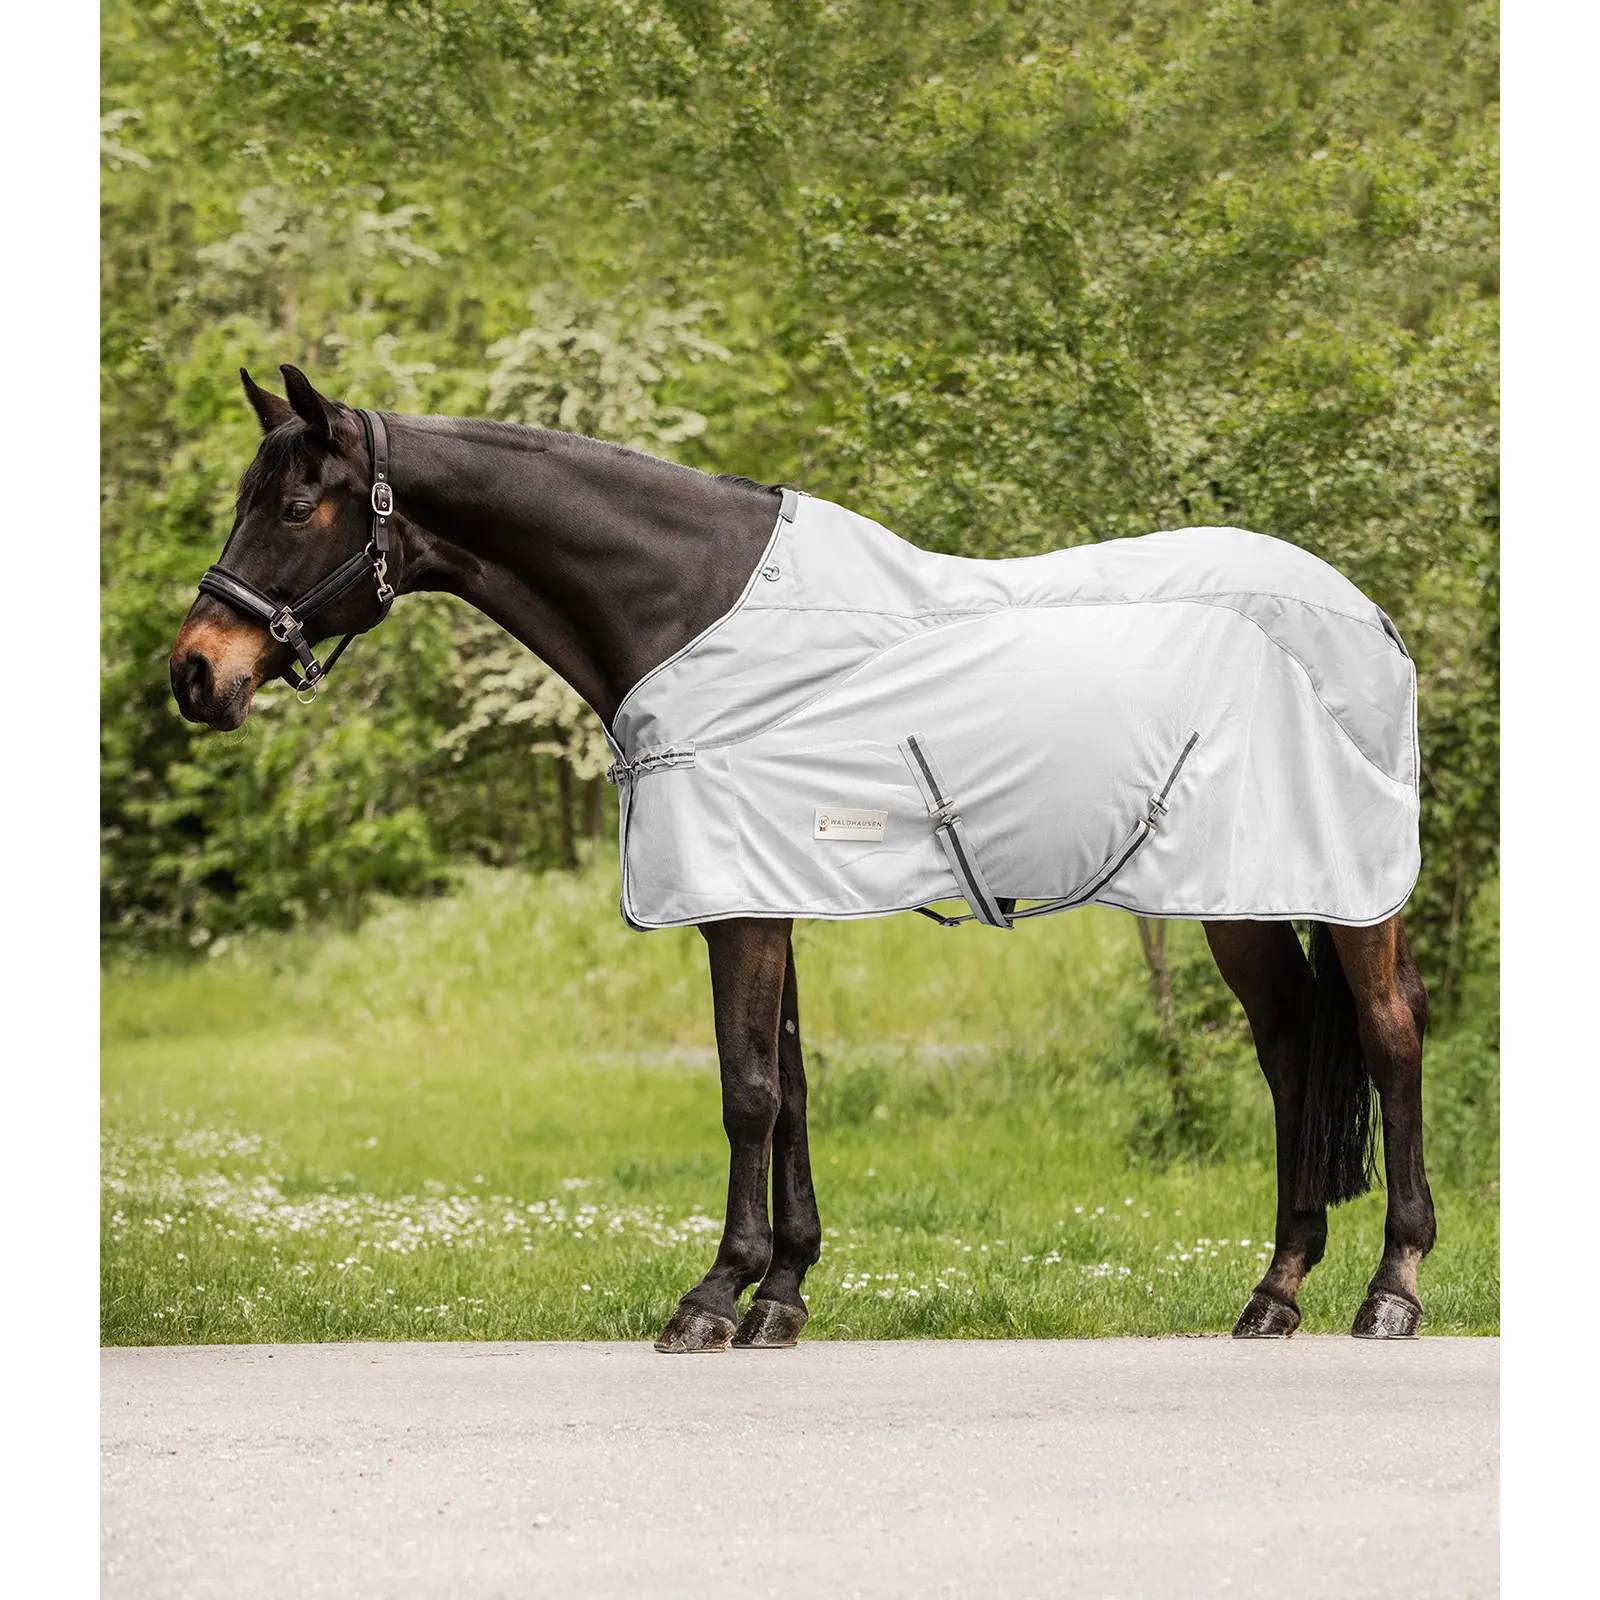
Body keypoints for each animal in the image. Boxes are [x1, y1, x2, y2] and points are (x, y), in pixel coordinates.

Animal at [170, 364, 1436, 1349]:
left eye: (297, 507)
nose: (194, 671)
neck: (692, 611)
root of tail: (1366, 615)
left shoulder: (736, 901)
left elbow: (747, 1091)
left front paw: (711, 1297)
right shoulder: (762, 888)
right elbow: (789, 1092)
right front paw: (781, 1293)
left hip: (1348, 893)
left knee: (1385, 1036)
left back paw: (1391, 1289)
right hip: (1246, 896)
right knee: (1290, 1049)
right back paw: (1274, 1292)